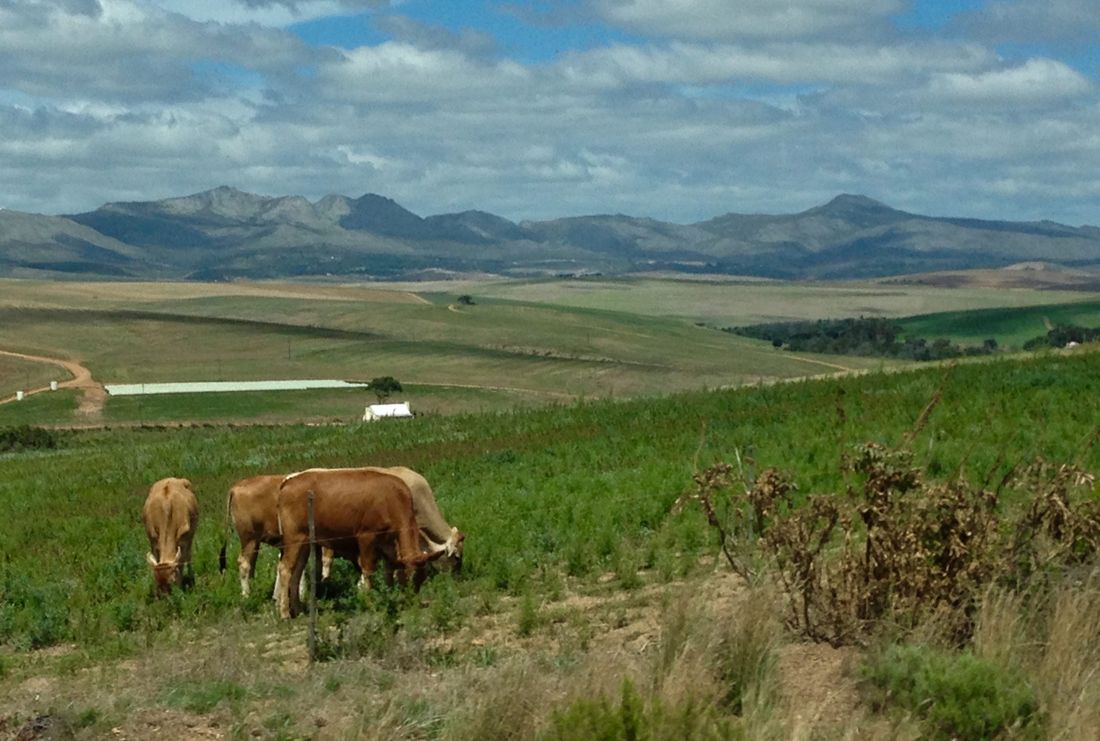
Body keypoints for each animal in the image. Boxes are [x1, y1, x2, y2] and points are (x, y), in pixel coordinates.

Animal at [275, 467, 447, 619]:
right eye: (409, 577)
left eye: (422, 579)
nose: (413, 599)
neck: (392, 498)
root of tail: (289, 482)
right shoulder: (366, 537)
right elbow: (368, 570)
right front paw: (368, 601)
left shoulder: (388, 542)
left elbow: (389, 569)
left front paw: (389, 594)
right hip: (294, 538)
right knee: (285, 569)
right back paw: (285, 613)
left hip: (305, 541)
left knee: (296, 571)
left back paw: (298, 609)